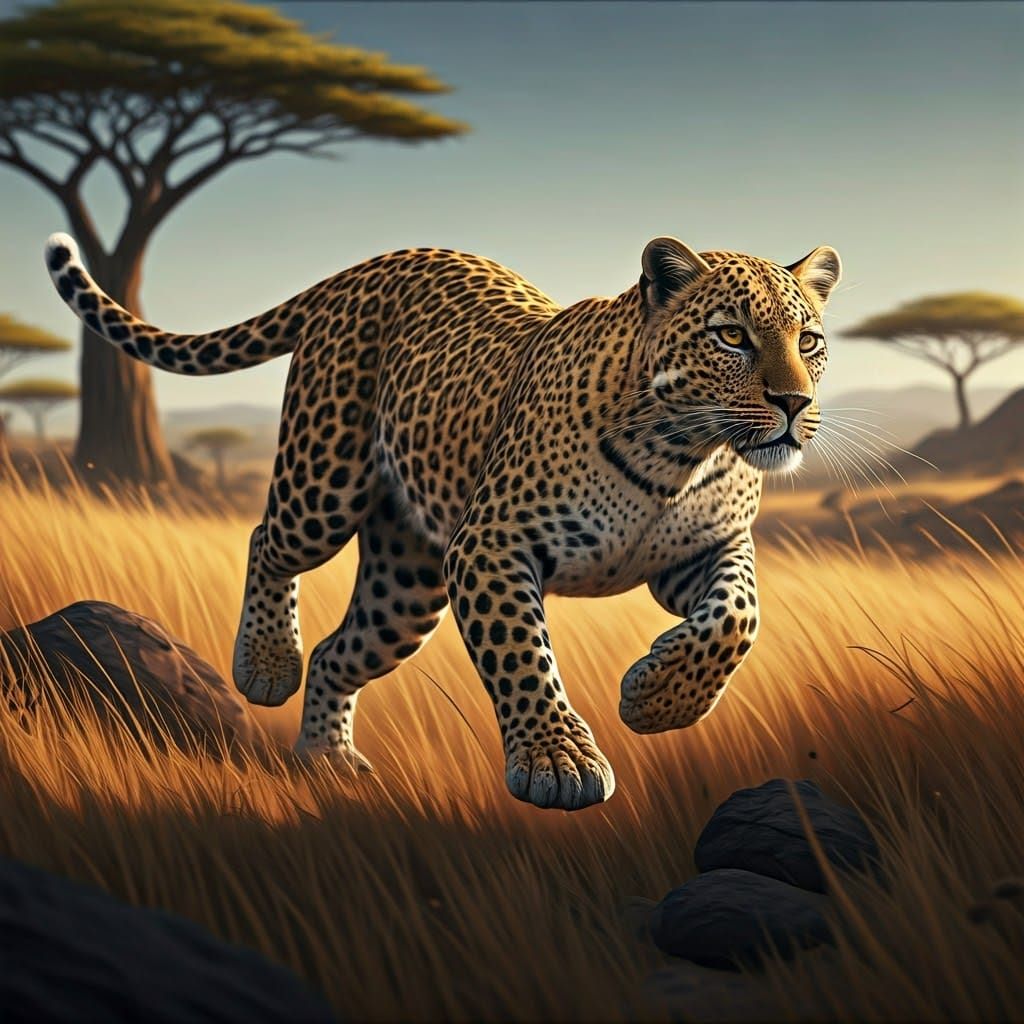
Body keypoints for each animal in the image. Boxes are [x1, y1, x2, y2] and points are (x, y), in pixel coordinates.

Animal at [44, 230, 840, 810]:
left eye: (809, 340)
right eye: (731, 335)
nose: (794, 403)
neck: (683, 454)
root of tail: (370, 262)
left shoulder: (705, 552)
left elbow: (738, 618)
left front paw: (660, 701)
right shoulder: (492, 544)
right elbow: (522, 654)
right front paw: (559, 761)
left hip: (405, 584)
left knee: (338, 652)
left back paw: (328, 762)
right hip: (322, 484)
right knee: (267, 540)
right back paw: (266, 664)